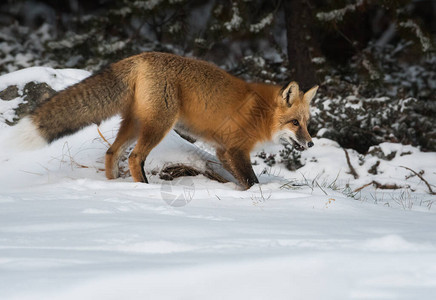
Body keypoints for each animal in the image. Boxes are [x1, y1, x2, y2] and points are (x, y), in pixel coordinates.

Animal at [15, 51, 318, 188]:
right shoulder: (235, 149)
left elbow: (239, 178)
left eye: (307, 123)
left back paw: (113, 186)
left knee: (112, 152)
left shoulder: (223, 151)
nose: (311, 144)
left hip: (135, 123)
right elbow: (251, 180)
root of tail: (140, 56)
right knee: (134, 157)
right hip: (159, 125)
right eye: (295, 123)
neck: (262, 113)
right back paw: (143, 187)